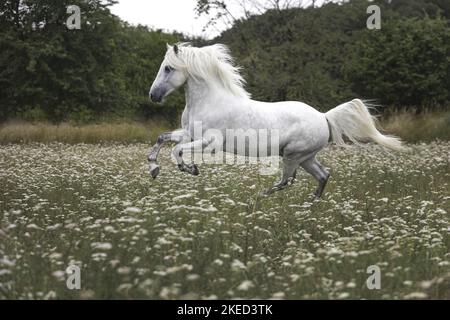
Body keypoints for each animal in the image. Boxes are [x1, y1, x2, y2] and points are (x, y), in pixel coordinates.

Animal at [148, 43, 404, 195]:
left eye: (168, 68)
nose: (153, 96)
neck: (210, 101)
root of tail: (324, 117)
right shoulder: (189, 133)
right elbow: (162, 139)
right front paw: (153, 169)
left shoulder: (210, 143)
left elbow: (177, 150)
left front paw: (190, 169)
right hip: (305, 157)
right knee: (322, 175)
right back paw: (311, 205)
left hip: (293, 155)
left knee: (287, 181)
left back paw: (263, 196)